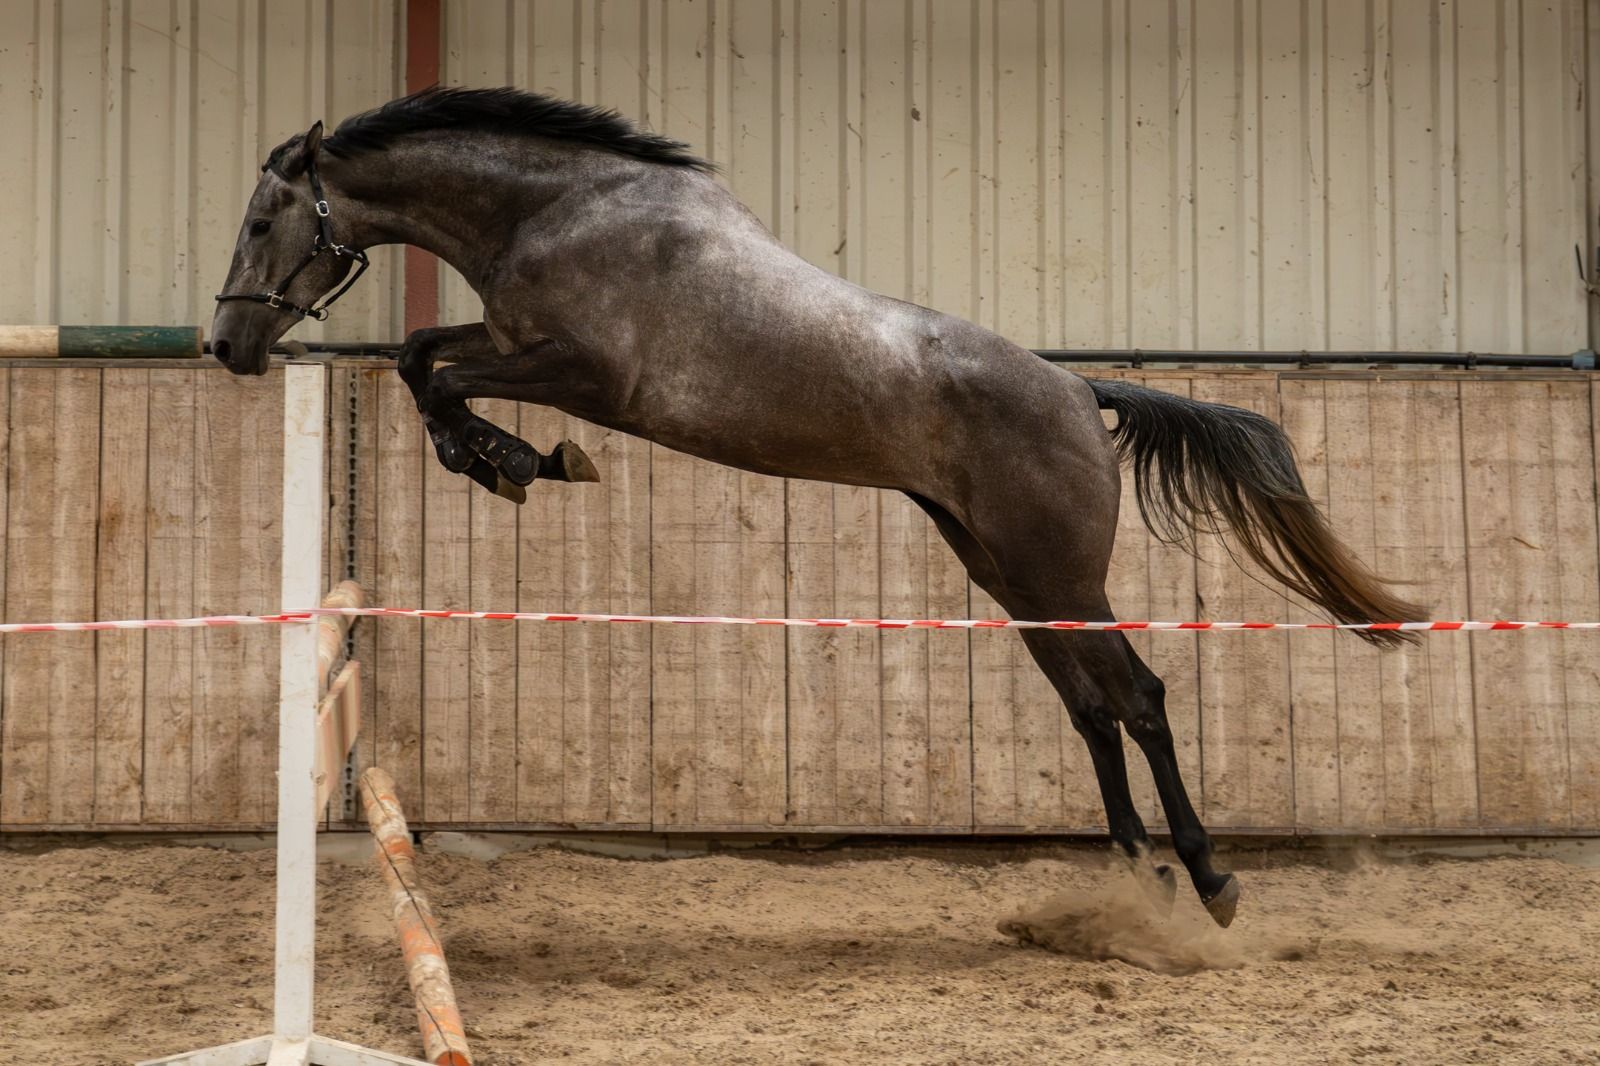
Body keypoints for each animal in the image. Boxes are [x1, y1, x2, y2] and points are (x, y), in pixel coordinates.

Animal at [211, 86, 1426, 928]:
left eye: (265, 220)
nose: (225, 345)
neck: (559, 211)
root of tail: (1082, 395)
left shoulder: (586, 373)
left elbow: (437, 373)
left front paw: (517, 459)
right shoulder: (518, 343)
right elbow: (423, 355)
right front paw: (511, 460)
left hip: (1059, 572)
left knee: (1138, 696)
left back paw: (1208, 879)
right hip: (1007, 573)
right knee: (1089, 705)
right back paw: (1138, 879)